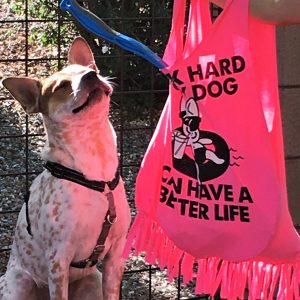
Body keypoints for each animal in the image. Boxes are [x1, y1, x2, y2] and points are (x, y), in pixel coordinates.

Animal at [0, 36, 131, 298]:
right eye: (61, 86)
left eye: (92, 70)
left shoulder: (115, 256)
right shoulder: (58, 260)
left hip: (93, 281)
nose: (91, 76)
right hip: (19, 282)